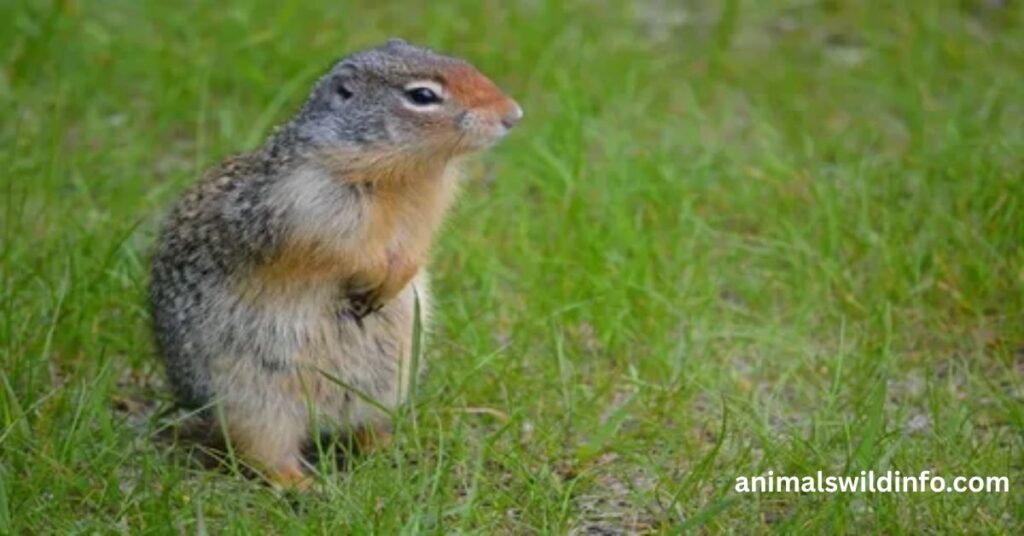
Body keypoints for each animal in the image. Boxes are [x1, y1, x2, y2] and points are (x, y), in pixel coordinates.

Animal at [149, 39, 521, 488]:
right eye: (422, 96)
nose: (513, 115)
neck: (408, 175)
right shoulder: (312, 204)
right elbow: (342, 250)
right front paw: (372, 277)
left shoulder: (429, 210)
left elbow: (416, 249)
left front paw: (393, 278)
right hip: (254, 402)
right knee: (261, 451)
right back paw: (300, 484)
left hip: (386, 387)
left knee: (363, 427)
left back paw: (390, 449)